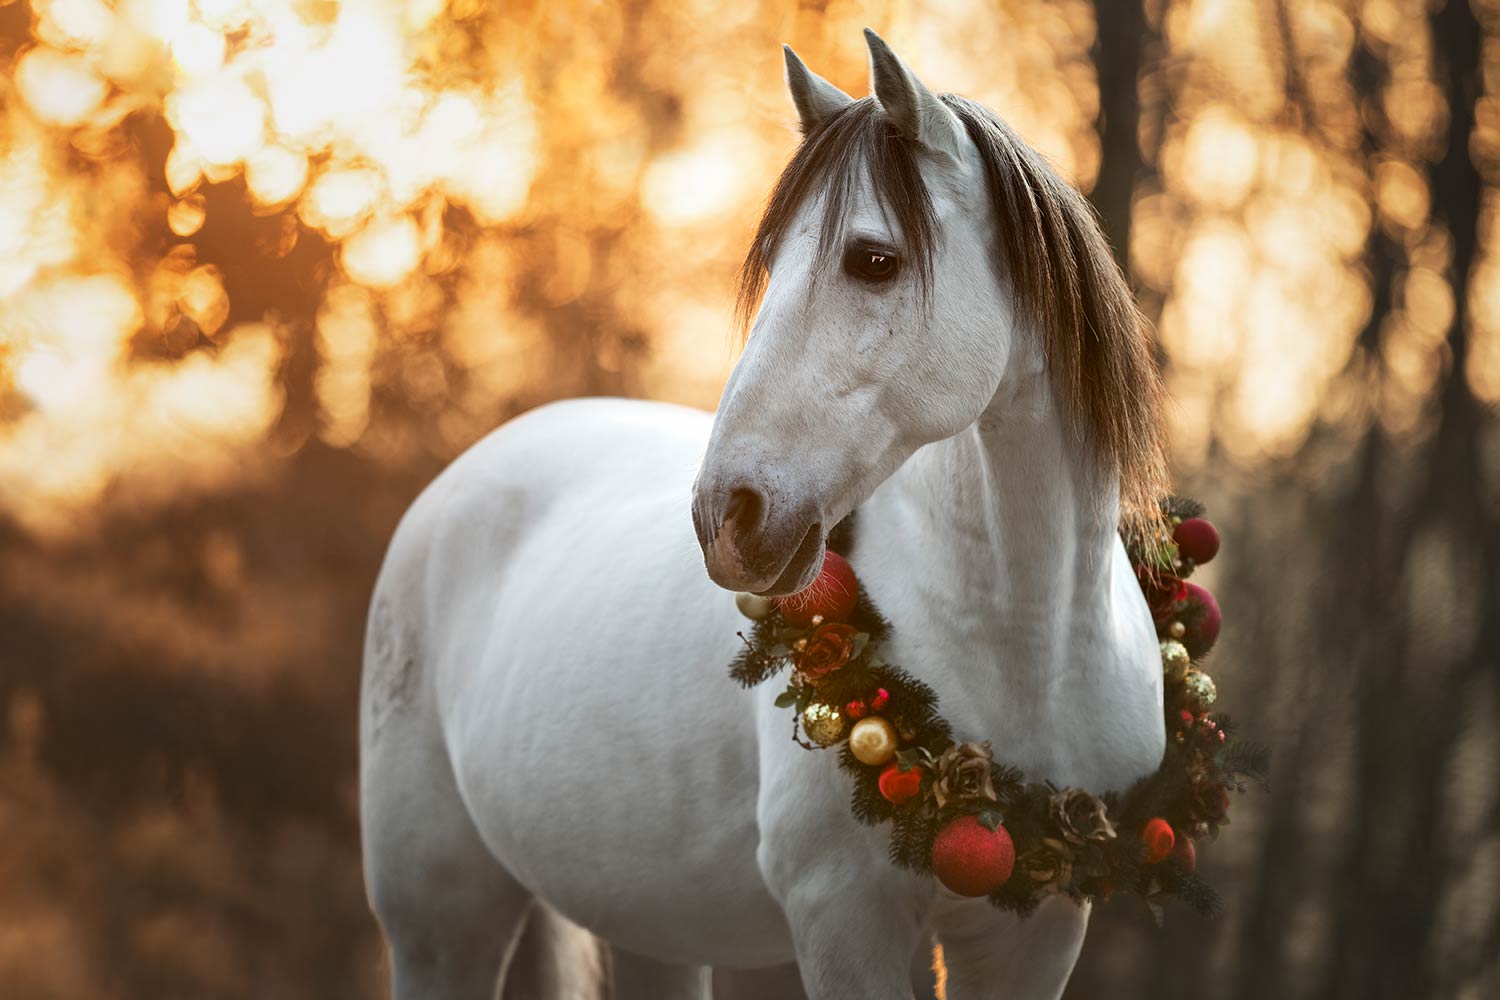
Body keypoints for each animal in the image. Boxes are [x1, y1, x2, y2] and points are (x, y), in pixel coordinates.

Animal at [360, 29, 1169, 1000]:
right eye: (774, 264)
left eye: (873, 258)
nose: (726, 518)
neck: (1025, 644)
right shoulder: (843, 921)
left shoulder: (1037, 933)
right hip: (440, 926)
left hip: (654, 928)